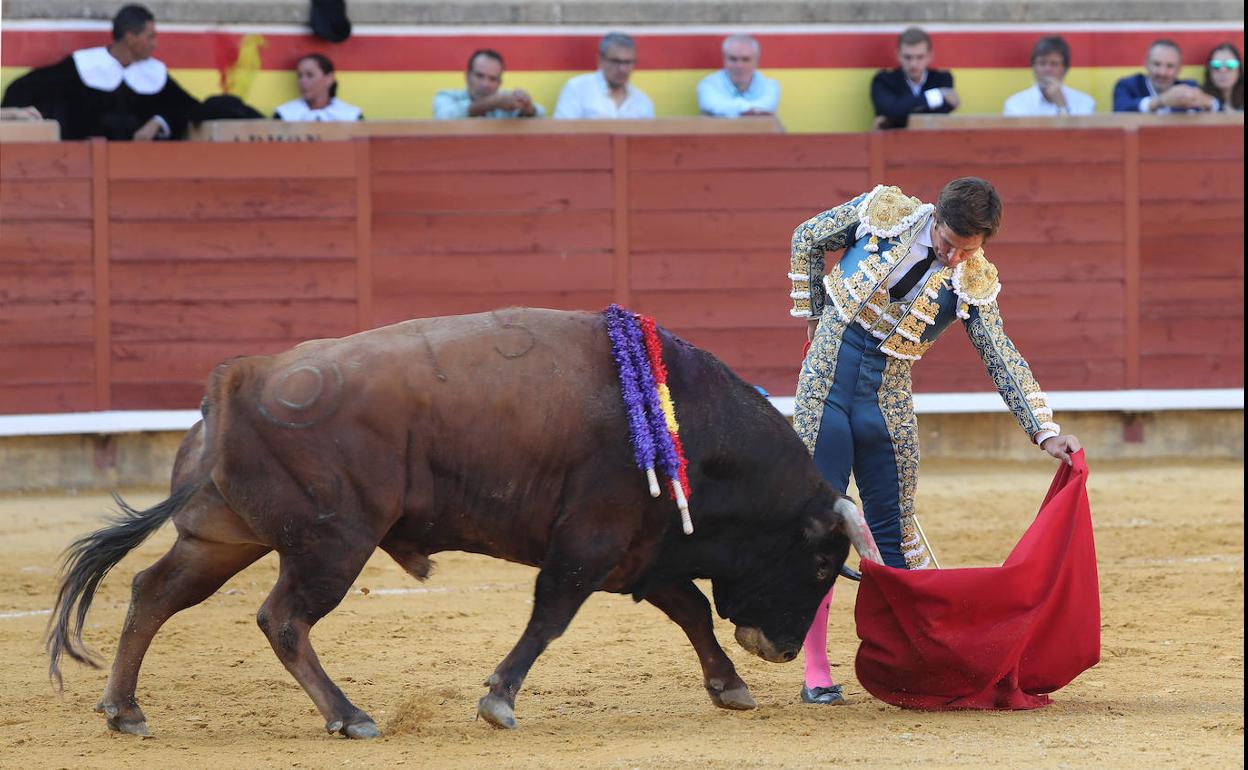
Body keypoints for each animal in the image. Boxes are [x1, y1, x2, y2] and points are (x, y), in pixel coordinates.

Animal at [48, 308, 878, 738]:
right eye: (817, 563)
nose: (779, 649)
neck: (685, 423)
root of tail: (238, 378)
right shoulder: (592, 541)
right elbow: (551, 617)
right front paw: (498, 699)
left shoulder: (639, 551)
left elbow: (692, 610)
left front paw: (729, 686)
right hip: (331, 544)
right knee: (282, 617)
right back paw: (349, 716)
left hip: (221, 533)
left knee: (154, 592)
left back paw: (124, 709)